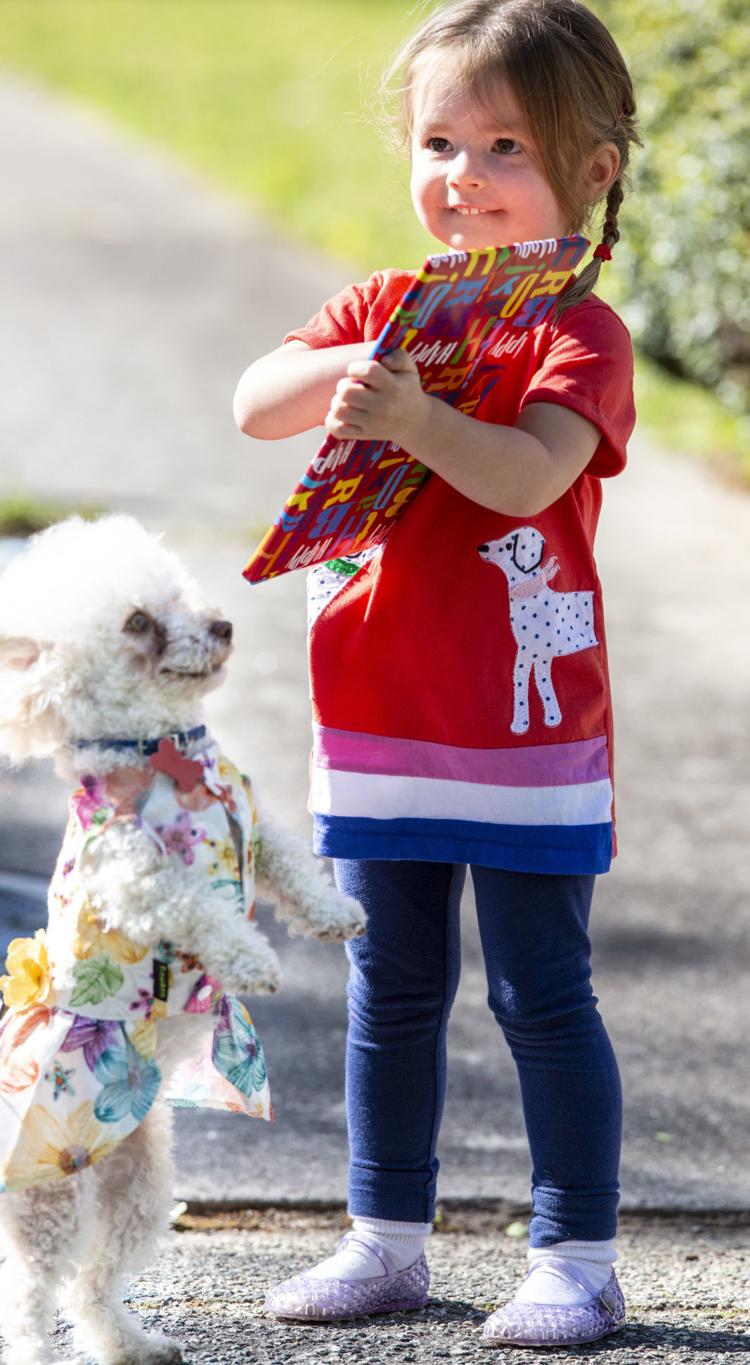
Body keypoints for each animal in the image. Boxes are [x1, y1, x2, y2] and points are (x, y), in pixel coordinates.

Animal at [0, 513, 366, 1365]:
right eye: (138, 623)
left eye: (179, 599)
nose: (224, 626)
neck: (164, 751)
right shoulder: (135, 881)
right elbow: (200, 905)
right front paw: (253, 958)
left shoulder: (258, 831)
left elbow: (292, 866)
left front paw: (334, 914)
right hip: (49, 1191)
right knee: (31, 1297)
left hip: (138, 1181)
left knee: (93, 1284)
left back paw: (131, 1343)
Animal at [480, 526, 595, 737]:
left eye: (508, 545)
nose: (481, 547)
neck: (529, 593)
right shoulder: (539, 656)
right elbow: (538, 683)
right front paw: (550, 719)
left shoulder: (529, 652)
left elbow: (525, 682)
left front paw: (521, 724)